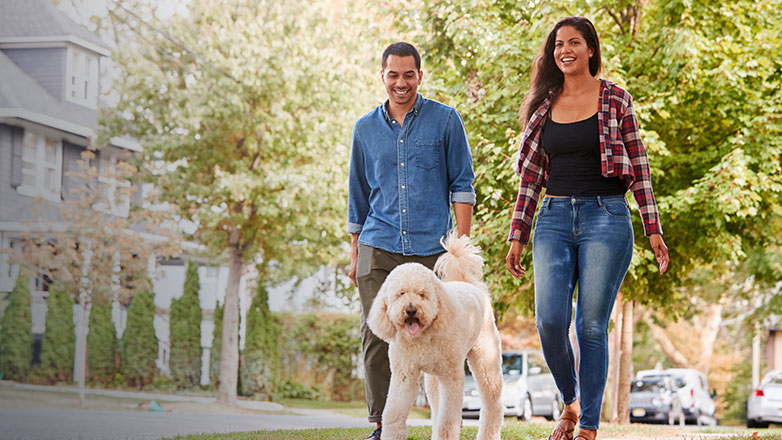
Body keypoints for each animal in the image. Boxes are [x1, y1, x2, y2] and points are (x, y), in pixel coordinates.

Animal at [368, 232, 502, 440]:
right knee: (436, 406)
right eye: (401, 294)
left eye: (422, 294)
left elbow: (448, 422)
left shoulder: (451, 378)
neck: (422, 337)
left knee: (492, 402)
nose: (411, 310)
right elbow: (393, 414)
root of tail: (471, 286)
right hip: (432, 379)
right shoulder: (404, 376)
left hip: (486, 361)